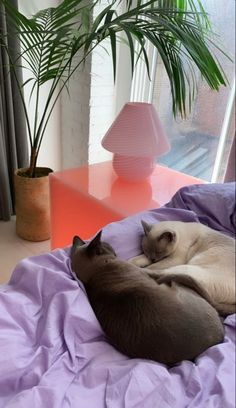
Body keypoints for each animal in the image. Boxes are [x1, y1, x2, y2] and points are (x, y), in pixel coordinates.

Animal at [71, 231, 224, 364]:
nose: (116, 253)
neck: (95, 274)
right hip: (181, 285)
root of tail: (219, 338)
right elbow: (153, 271)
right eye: (110, 250)